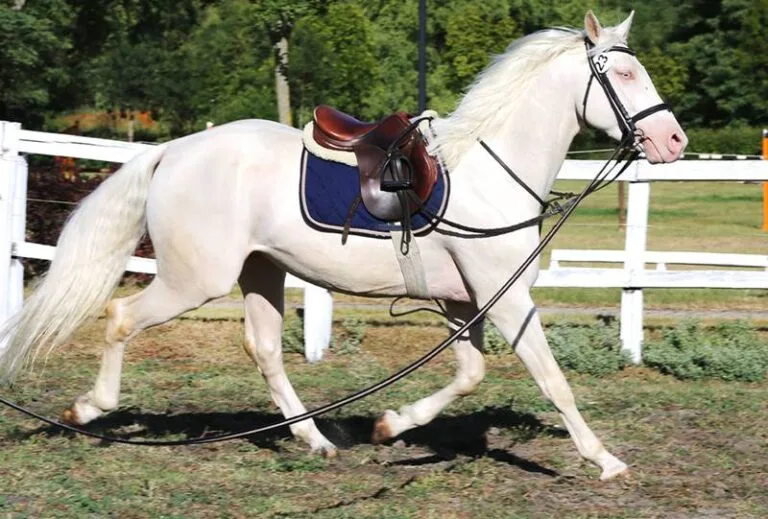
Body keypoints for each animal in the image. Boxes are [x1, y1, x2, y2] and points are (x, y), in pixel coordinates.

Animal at [0, 11, 686, 480]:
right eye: (625, 73)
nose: (674, 140)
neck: (490, 172)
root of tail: (172, 150)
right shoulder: (507, 300)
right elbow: (553, 380)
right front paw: (604, 460)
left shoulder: (466, 305)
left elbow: (469, 375)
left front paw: (390, 425)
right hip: (196, 280)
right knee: (120, 318)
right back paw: (89, 409)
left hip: (261, 273)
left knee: (265, 351)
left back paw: (317, 441)